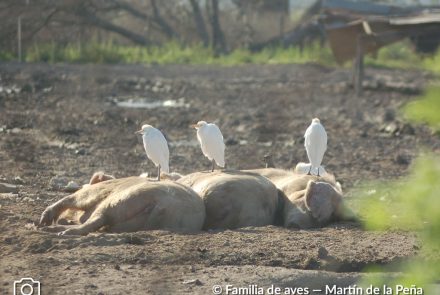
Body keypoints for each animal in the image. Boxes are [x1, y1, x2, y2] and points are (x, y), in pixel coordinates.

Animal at [37, 176, 205, 236]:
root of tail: (166, 203)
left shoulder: (97, 193)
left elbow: (71, 200)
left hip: (121, 200)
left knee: (94, 221)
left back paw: (51, 228)